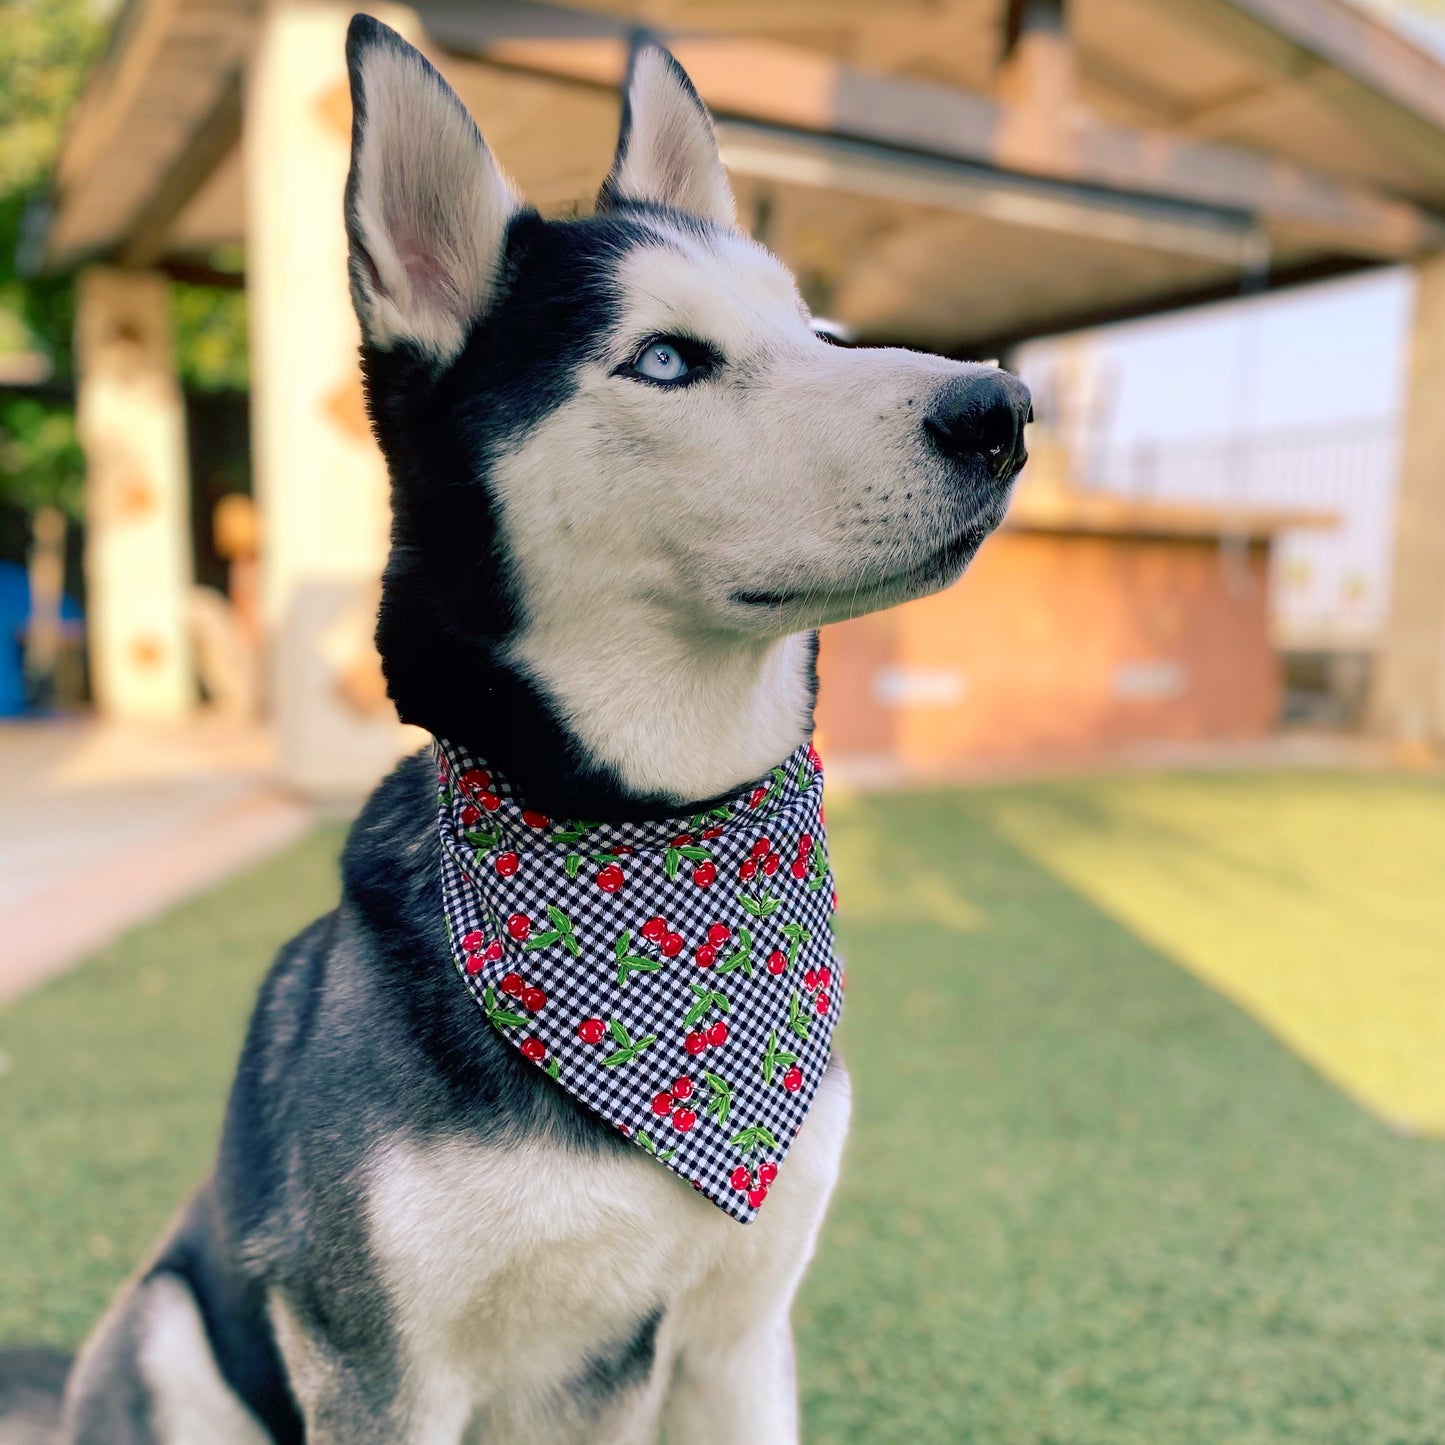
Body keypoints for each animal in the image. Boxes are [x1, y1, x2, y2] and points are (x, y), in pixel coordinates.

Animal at [62, 14, 1034, 1445]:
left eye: (817, 328)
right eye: (666, 357)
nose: (1002, 410)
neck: (646, 837)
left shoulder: (733, 1337)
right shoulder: (382, 1371)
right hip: (171, 1326)